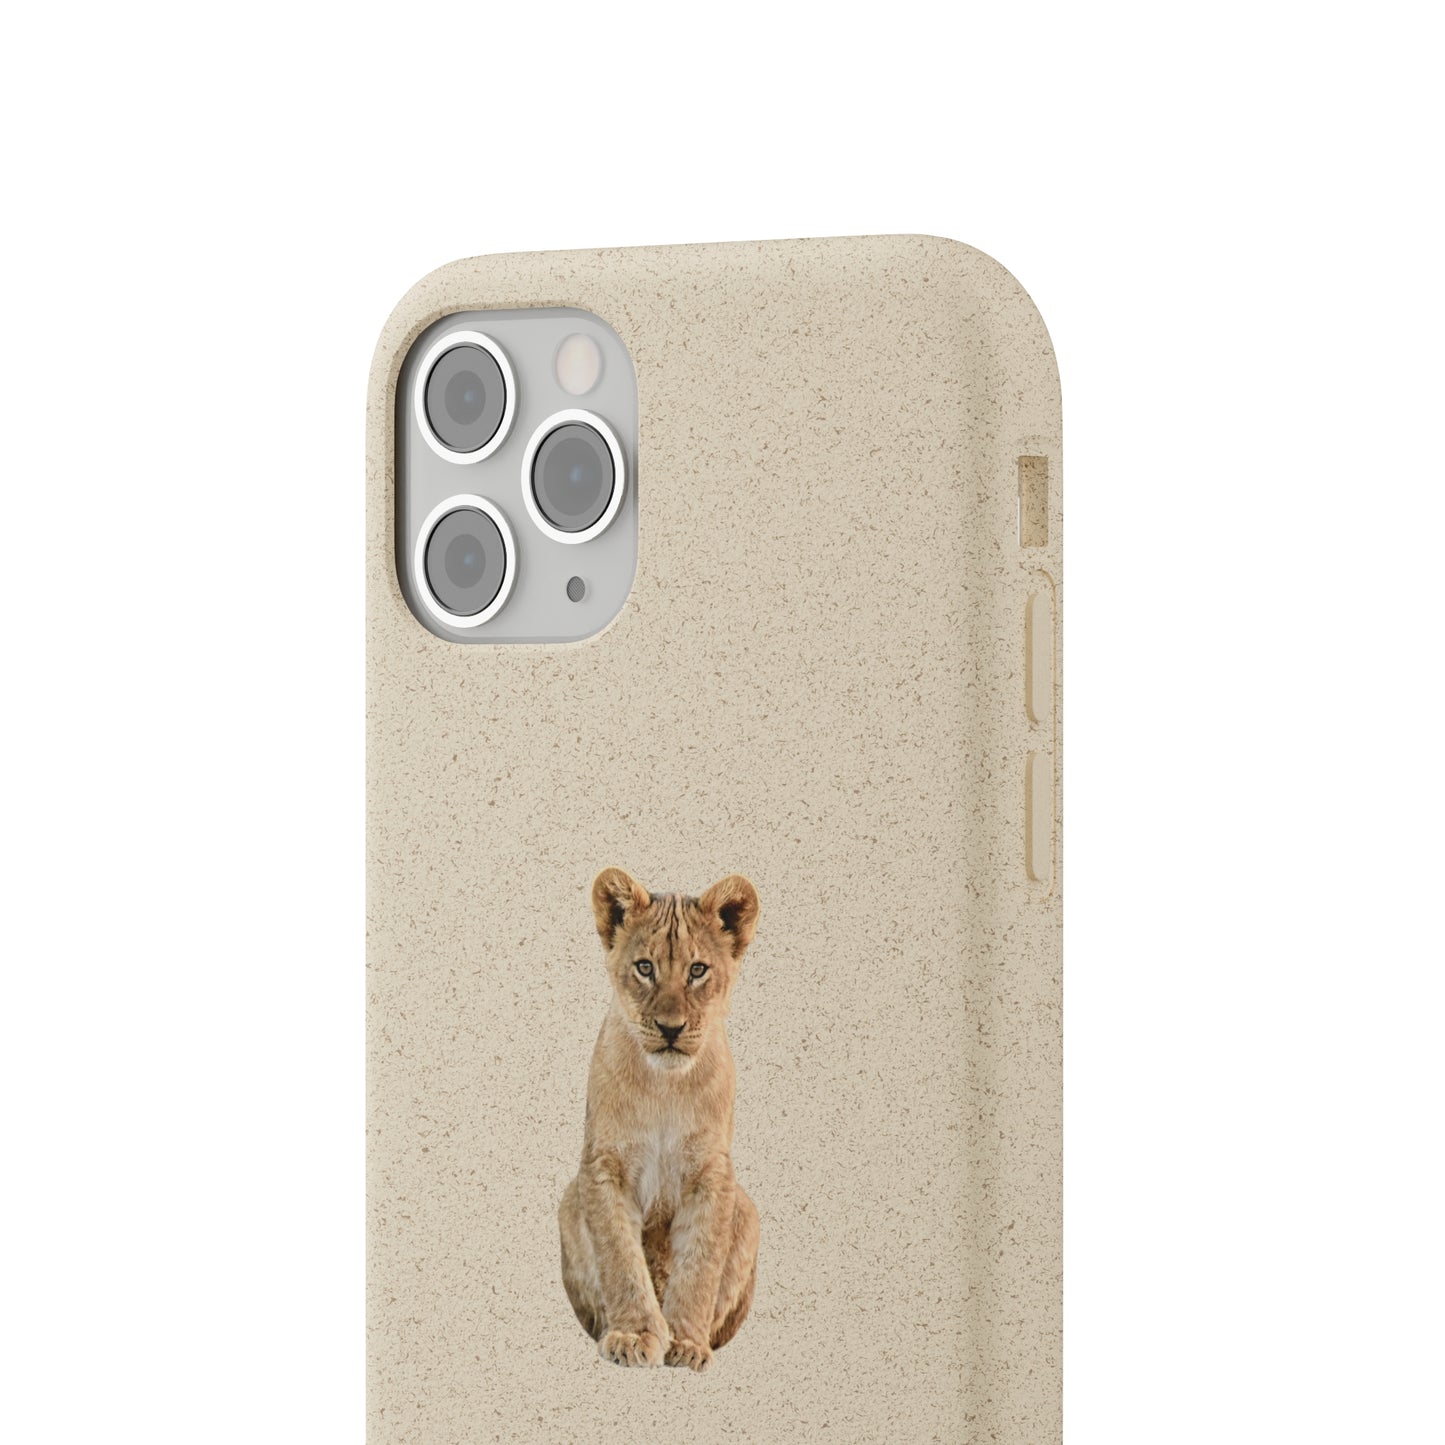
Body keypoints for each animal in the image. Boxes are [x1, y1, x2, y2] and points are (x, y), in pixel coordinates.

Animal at [558, 868, 762, 1372]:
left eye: (698, 970)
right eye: (645, 968)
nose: (671, 1029)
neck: (665, 1088)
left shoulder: (712, 1173)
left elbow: (699, 1265)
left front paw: (686, 1344)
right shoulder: (602, 1168)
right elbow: (621, 1259)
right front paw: (633, 1336)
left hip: (748, 1210)